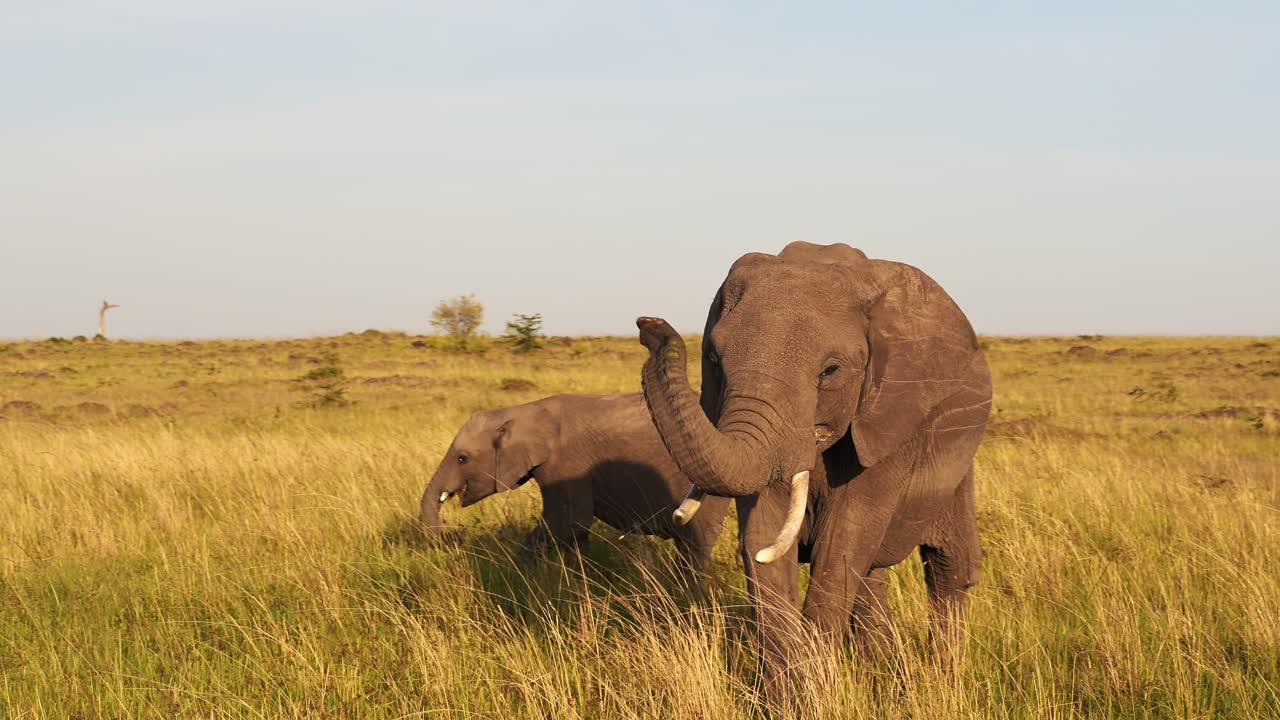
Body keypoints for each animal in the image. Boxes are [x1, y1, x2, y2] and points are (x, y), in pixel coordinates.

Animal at [419, 393, 732, 584]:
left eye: (462, 458)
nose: (455, 535)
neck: (523, 411)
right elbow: (574, 532)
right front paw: (573, 579)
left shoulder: (567, 463)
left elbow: (566, 523)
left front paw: (521, 577)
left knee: (695, 542)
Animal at [636, 241, 992, 704]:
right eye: (713, 359)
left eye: (830, 371)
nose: (649, 326)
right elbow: (764, 537)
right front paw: (780, 702)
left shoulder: (891, 418)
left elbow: (843, 539)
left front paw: (816, 696)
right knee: (872, 574)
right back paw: (885, 677)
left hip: (960, 454)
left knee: (949, 565)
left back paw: (941, 685)